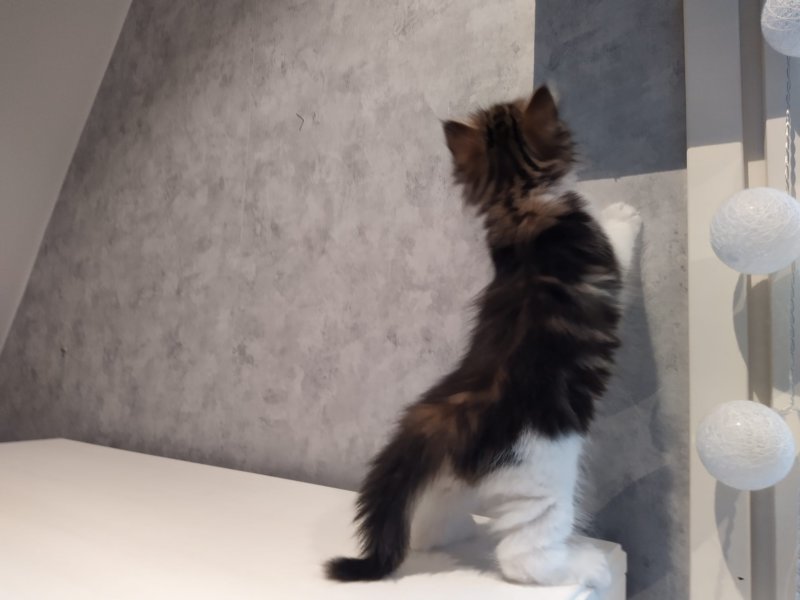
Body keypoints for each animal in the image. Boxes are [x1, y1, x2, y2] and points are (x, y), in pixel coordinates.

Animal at [325, 85, 641, 588]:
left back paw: (449, 535)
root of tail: (449, 413)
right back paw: (584, 567)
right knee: (522, 555)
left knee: (429, 521)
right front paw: (624, 212)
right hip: (542, 479)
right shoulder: (605, 259)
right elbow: (620, 240)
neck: (518, 202)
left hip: (451, 479)